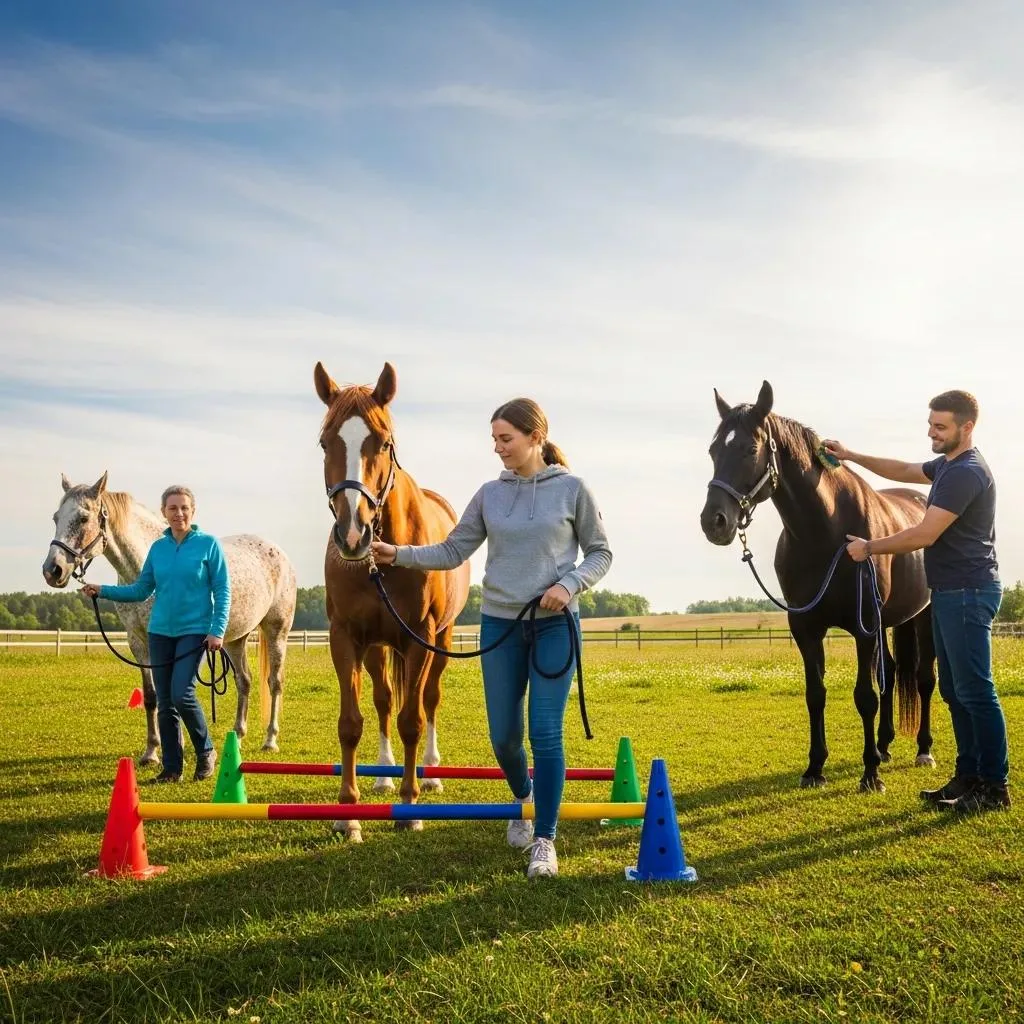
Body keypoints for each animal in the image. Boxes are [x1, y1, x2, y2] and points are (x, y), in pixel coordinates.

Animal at [314, 360, 470, 841]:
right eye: (325, 442)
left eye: (383, 443)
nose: (353, 534)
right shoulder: (345, 638)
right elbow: (352, 724)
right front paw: (349, 814)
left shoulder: (420, 639)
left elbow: (412, 720)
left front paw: (410, 806)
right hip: (378, 648)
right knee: (383, 700)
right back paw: (383, 774)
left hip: (442, 640)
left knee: (430, 700)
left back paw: (431, 772)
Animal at [700, 381, 937, 792]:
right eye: (714, 450)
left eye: (750, 449)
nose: (714, 521)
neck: (827, 532)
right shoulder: (806, 627)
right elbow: (816, 694)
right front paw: (815, 768)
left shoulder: (863, 627)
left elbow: (865, 696)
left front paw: (870, 776)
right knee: (891, 675)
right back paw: (884, 747)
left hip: (923, 617)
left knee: (924, 679)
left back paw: (922, 749)